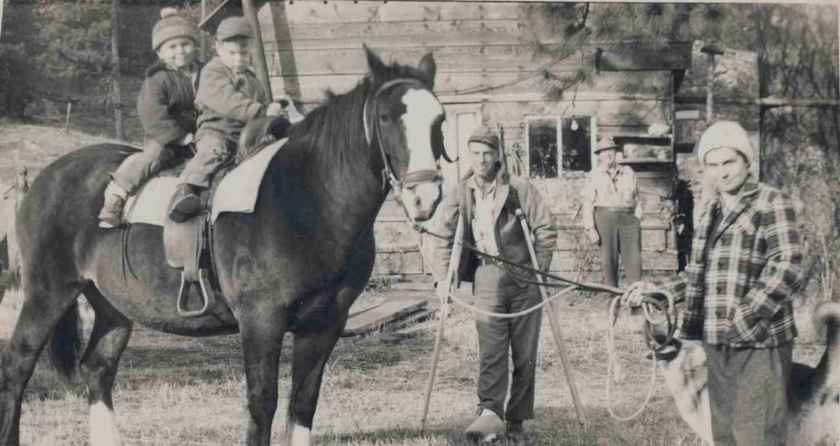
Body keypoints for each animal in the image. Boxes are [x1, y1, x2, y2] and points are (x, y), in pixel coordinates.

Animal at [1, 49, 446, 446]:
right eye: (386, 117)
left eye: (439, 119)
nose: (425, 197)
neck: (307, 198)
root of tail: (44, 179)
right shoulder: (261, 320)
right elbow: (262, 404)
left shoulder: (326, 324)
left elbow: (303, 404)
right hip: (48, 293)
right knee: (18, 367)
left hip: (112, 306)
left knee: (97, 369)